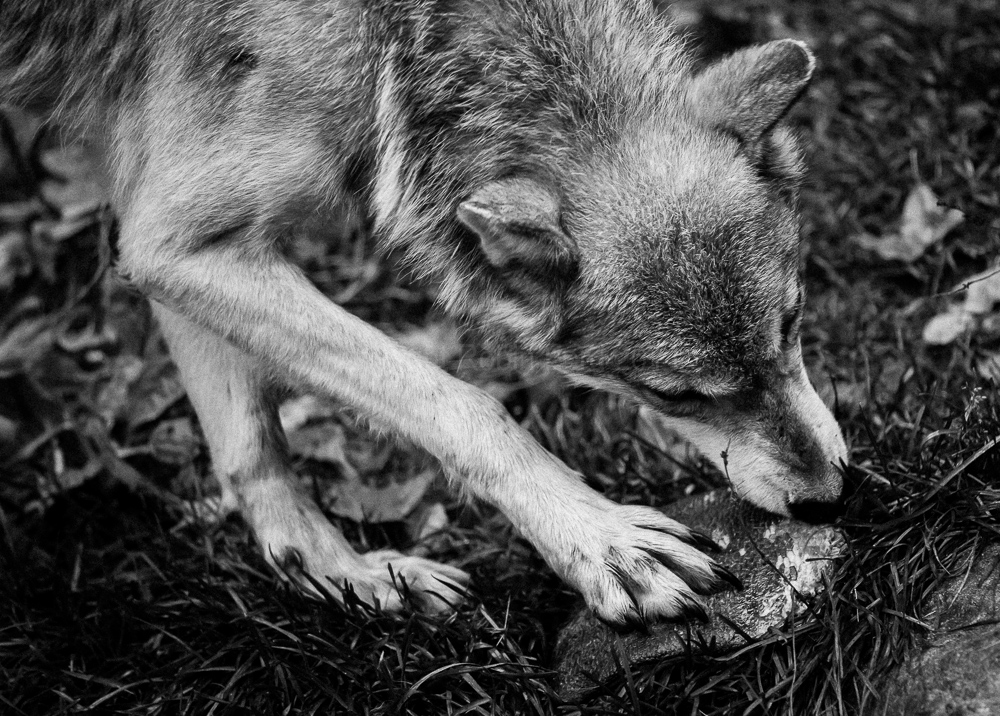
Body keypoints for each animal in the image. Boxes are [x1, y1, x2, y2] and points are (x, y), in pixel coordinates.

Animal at [1, 0, 848, 626]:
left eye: (793, 321)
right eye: (671, 394)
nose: (827, 499)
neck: (404, 31)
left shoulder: (162, 225)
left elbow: (250, 449)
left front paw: (334, 575)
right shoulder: (173, 242)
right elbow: (461, 404)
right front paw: (600, 543)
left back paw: (365, 581)